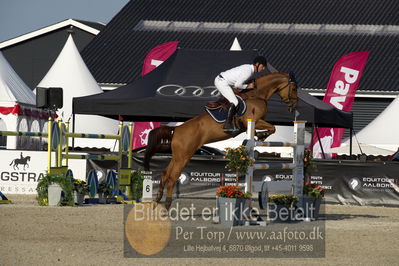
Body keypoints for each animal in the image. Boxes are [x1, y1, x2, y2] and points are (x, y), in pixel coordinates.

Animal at [145, 71, 298, 209]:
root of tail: (176, 129)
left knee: (165, 173)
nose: (293, 106)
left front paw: (260, 135)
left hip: (177, 156)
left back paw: (157, 200)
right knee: (172, 177)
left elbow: (272, 128)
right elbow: (273, 128)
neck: (257, 94)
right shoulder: (253, 120)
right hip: (184, 156)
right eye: (294, 88)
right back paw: (167, 204)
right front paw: (262, 136)